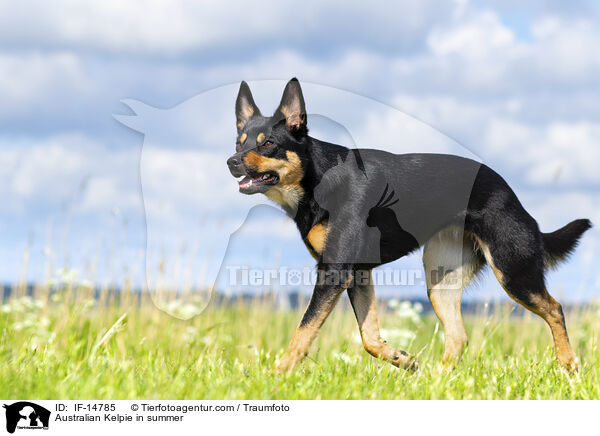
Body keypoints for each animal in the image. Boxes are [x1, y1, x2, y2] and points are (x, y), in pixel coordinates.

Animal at [227, 77, 592, 372]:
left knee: (555, 309)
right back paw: (434, 379)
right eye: (239, 142)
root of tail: (511, 194)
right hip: (440, 280)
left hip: (512, 270)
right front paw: (402, 359)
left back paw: (569, 364)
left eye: (268, 143)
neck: (318, 179)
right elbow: (369, 337)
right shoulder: (357, 273)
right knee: (458, 337)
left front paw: (277, 374)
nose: (231, 162)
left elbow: (304, 330)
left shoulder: (334, 272)